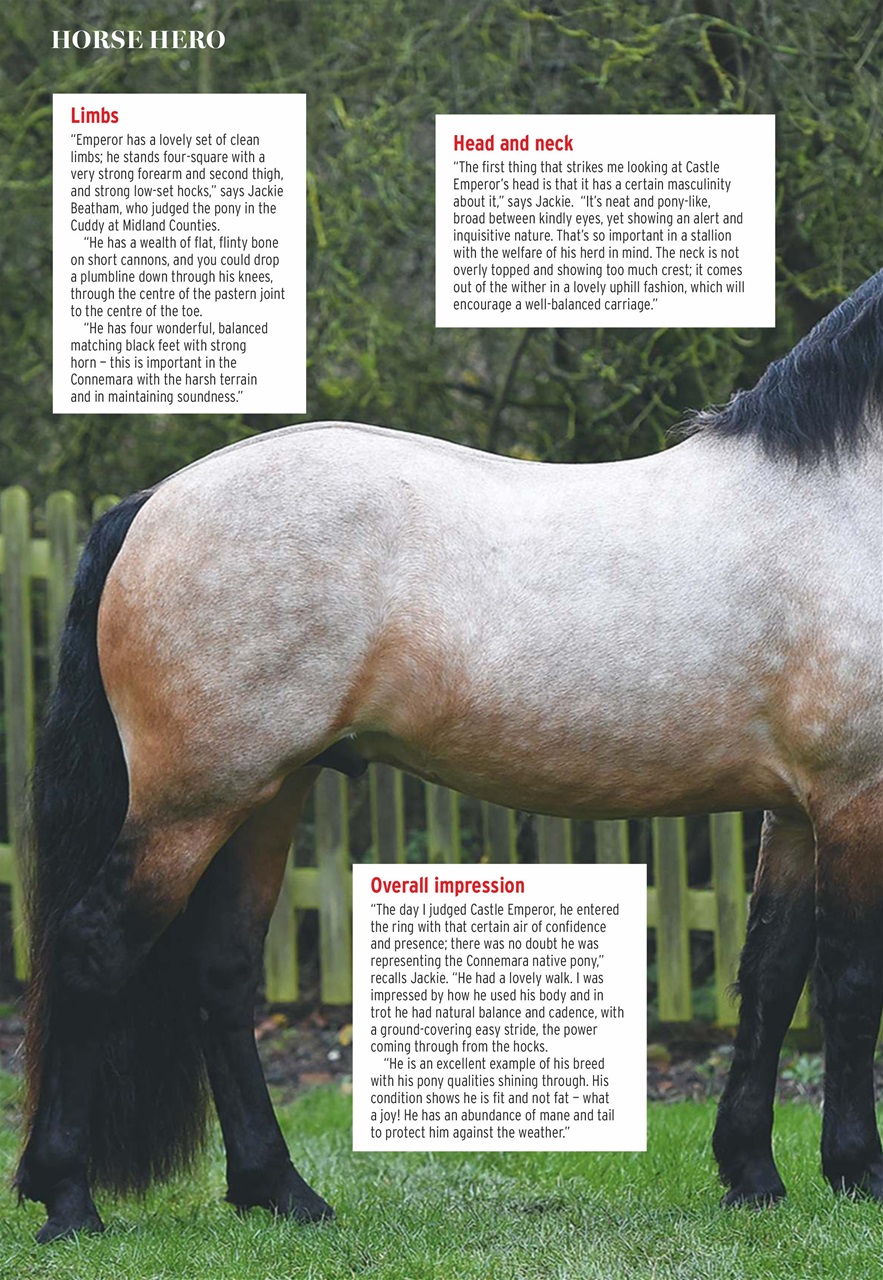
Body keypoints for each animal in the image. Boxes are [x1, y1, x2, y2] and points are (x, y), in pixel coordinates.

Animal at [15, 270, 883, 1242]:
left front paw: (752, 1176)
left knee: (221, 975)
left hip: (265, 797)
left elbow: (770, 977)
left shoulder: (798, 808)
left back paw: (280, 1191)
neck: (838, 498)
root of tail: (154, 502)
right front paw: (858, 1172)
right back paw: (69, 1198)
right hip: (192, 803)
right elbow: (851, 982)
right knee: (93, 950)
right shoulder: (857, 795)